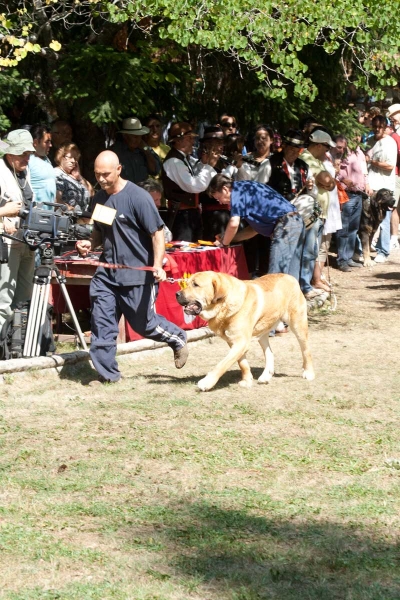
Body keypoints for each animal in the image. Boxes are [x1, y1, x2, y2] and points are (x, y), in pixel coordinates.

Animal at [177, 270, 314, 392]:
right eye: (186, 283)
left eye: (196, 284)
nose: (176, 294)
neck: (224, 306)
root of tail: (290, 276)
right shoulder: (234, 342)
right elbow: (242, 363)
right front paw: (247, 380)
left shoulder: (241, 342)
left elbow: (223, 364)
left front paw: (207, 382)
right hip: (263, 332)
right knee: (269, 353)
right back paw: (266, 376)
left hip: (298, 324)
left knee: (306, 349)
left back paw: (308, 372)